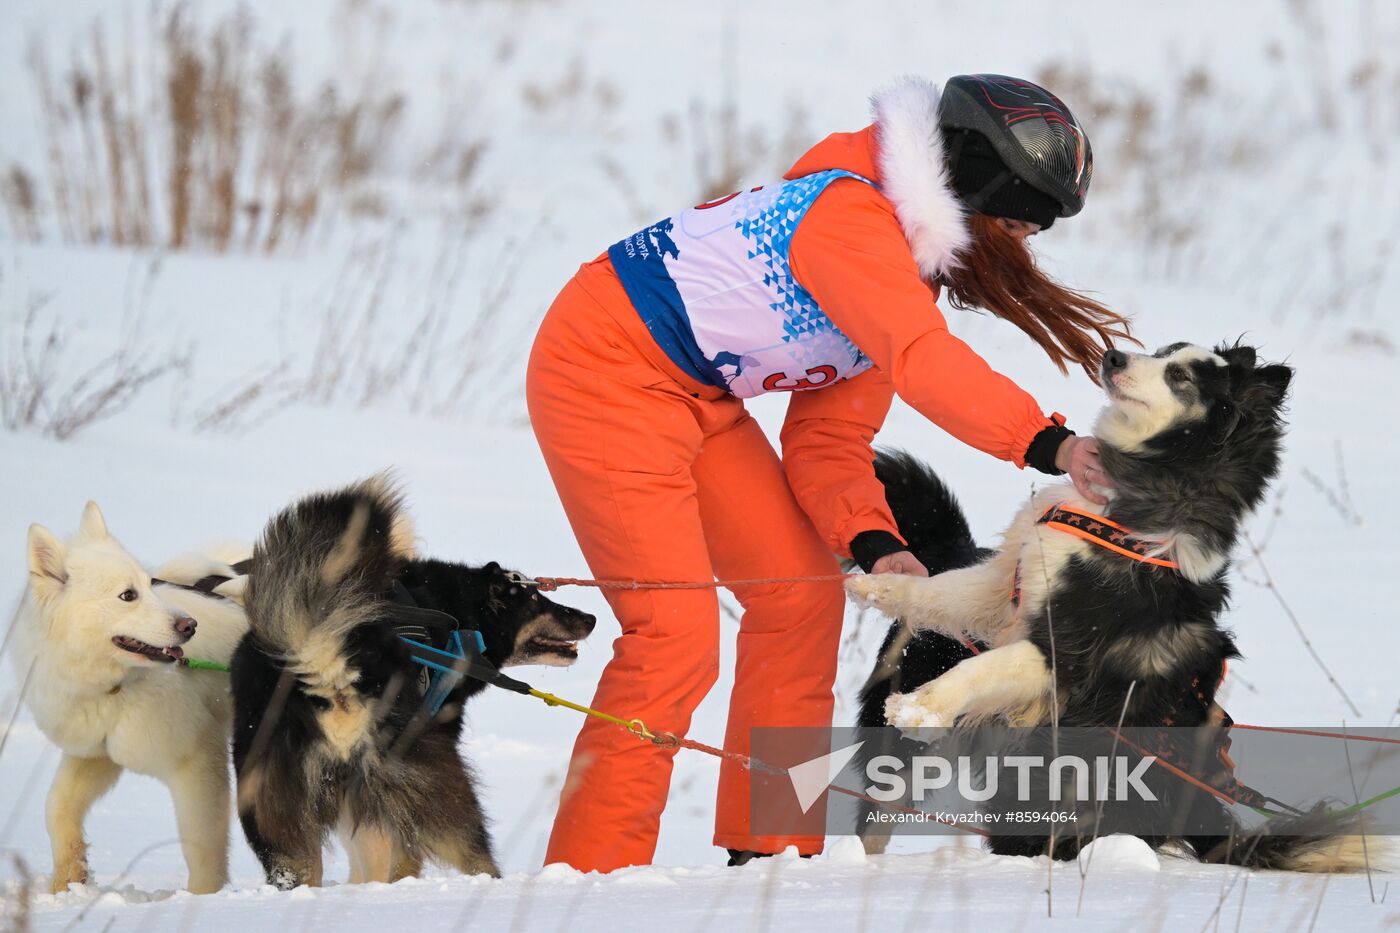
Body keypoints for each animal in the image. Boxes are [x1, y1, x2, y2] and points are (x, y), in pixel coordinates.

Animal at [14, 501, 249, 896]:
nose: (190, 626)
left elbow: (202, 847)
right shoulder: (96, 755)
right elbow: (56, 807)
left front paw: (203, 898)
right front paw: (67, 883)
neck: (114, 687)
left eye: (148, 585)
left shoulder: (198, 762)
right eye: (128, 595)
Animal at [232, 476, 593, 890]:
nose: (591, 618)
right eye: (535, 600)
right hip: (435, 783)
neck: (454, 611)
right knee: (467, 853)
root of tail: (324, 659)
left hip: (278, 815)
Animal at [851, 341, 1366, 874]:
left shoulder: (1066, 650)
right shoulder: (1004, 588)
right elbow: (940, 590)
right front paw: (878, 584)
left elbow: (980, 669)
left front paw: (918, 707)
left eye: (1180, 375)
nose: (1114, 355)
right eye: (1163, 350)